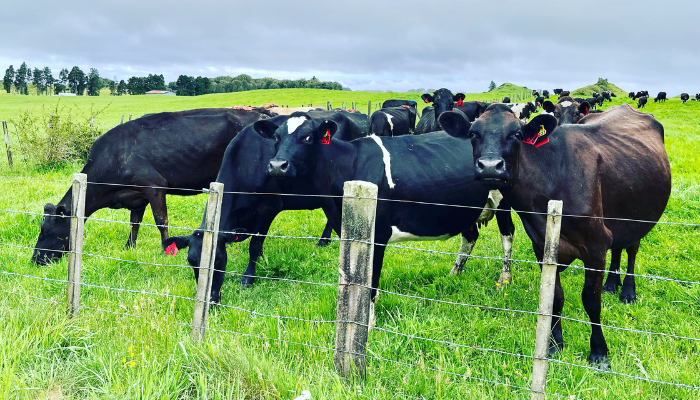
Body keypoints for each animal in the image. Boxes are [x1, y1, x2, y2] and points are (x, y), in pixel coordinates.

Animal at [32, 108, 273, 265]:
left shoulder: (155, 186)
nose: (35, 260)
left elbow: (161, 220)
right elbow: (134, 223)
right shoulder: (136, 197)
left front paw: (165, 249)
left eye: (46, 232)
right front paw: (128, 248)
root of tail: (263, 113)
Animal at [255, 111, 517, 319]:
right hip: (465, 208)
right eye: (276, 138)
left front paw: (368, 322)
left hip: (502, 200)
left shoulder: (378, 233)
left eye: (308, 137)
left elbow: (371, 279)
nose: (277, 165)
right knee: (470, 236)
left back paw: (504, 281)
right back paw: (453, 275)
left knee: (507, 235)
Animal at [438, 103, 670, 370]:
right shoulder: (542, 246)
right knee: (618, 247)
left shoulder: (596, 245)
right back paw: (612, 283)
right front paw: (554, 345)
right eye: (473, 133)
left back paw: (627, 291)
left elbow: (591, 300)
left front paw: (599, 352)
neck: (551, 183)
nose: (489, 166)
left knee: (631, 249)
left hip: (638, 218)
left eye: (516, 134)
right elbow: (555, 298)